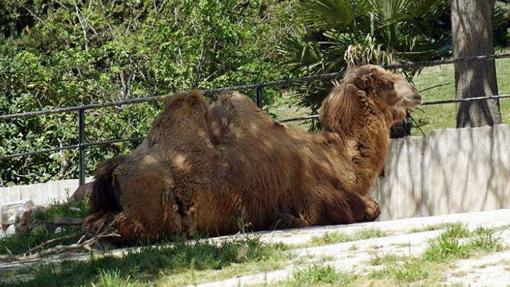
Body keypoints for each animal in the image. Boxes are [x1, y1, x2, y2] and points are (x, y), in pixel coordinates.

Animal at [83, 65, 422, 243]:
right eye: (388, 83)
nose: (416, 92)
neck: (336, 156)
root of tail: (114, 169)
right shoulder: (321, 198)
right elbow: (372, 208)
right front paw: (288, 220)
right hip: (155, 203)